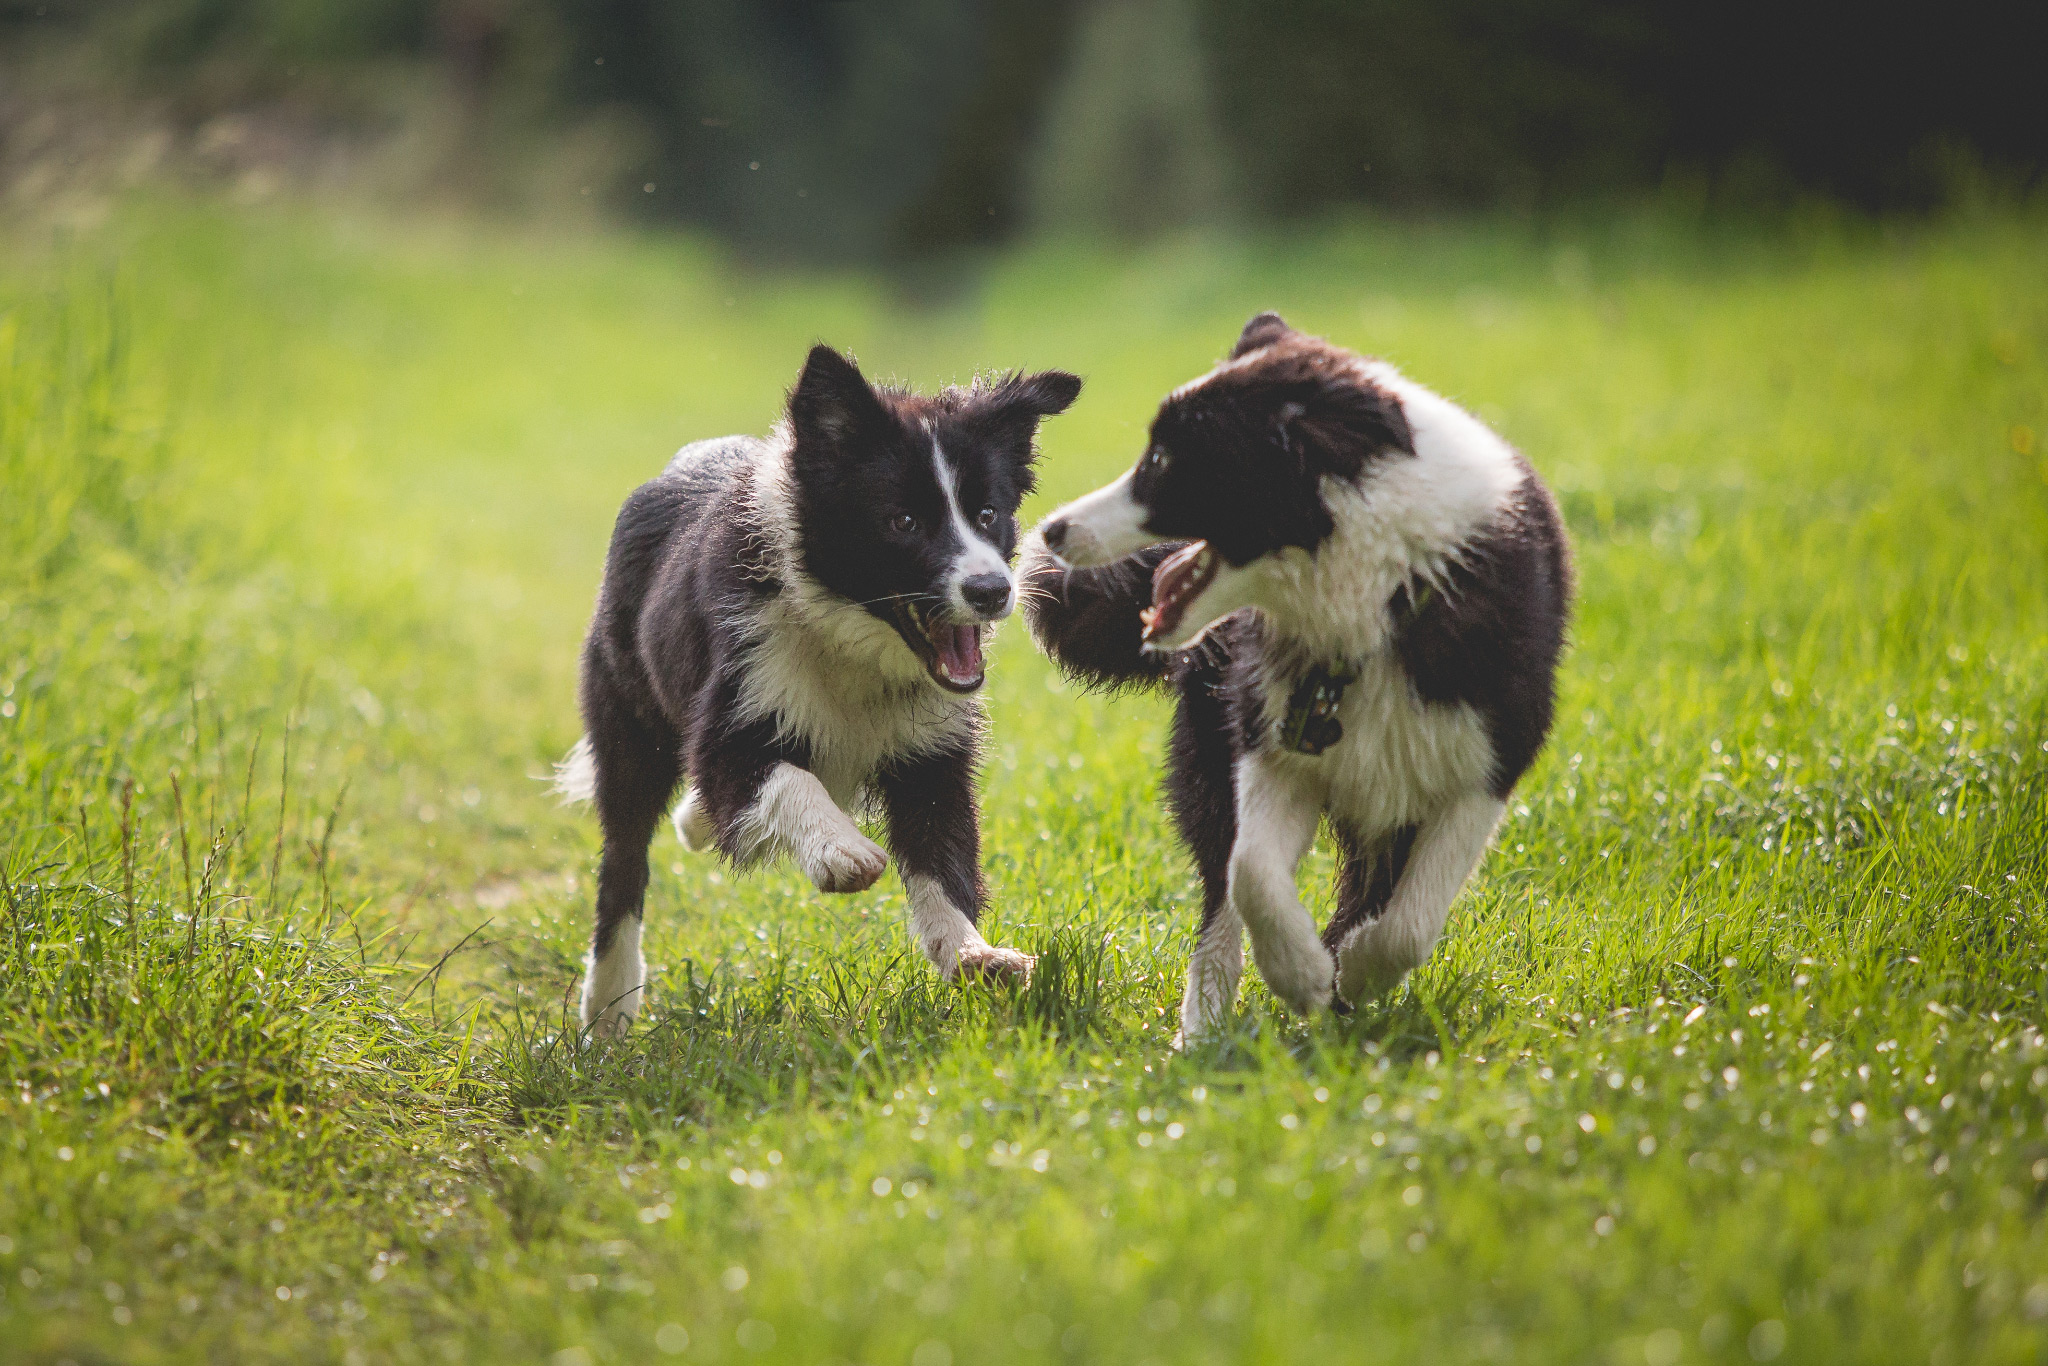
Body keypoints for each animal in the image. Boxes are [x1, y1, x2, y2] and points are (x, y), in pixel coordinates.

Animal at [552, 342, 1081, 1036]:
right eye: (903, 521)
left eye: (988, 513)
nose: (993, 591)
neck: (849, 635)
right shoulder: (739, 693)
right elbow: (779, 776)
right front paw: (841, 852)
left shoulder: (931, 746)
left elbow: (942, 853)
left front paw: (974, 955)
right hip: (624, 700)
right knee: (624, 853)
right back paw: (608, 1008)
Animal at [1024, 315, 1564, 1048]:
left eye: (1162, 460)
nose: (1051, 529)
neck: (1384, 586)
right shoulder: (1269, 734)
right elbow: (1251, 873)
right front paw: (1302, 974)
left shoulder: (1487, 759)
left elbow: (1411, 919)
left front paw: (1356, 969)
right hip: (1212, 737)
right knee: (1222, 887)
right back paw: (1202, 1034)